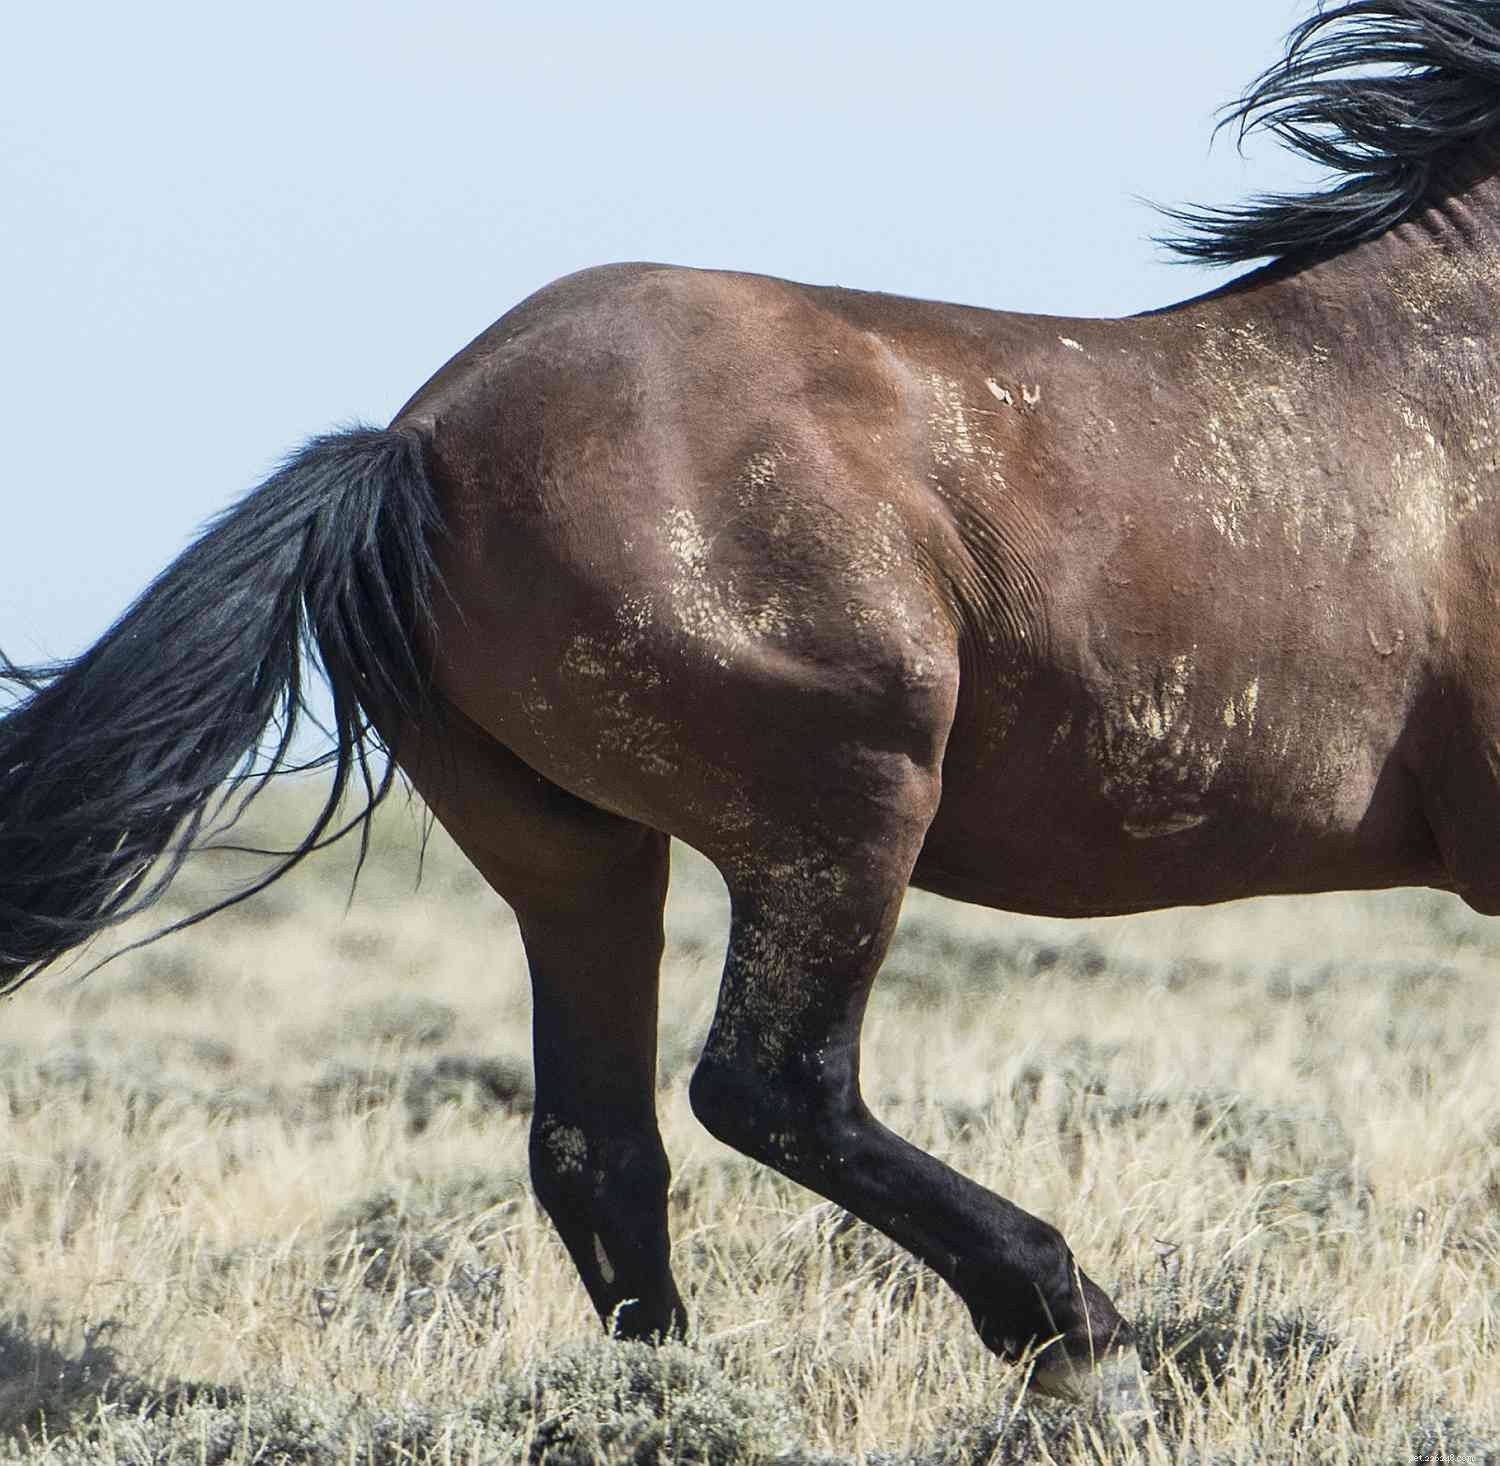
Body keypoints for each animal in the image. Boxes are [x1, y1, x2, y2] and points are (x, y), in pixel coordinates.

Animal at [5, 0, 1500, 1416]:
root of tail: (415, 443)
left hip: (574, 853)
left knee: (597, 1143)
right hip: (843, 808)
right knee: (770, 1087)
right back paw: (1078, 1336)